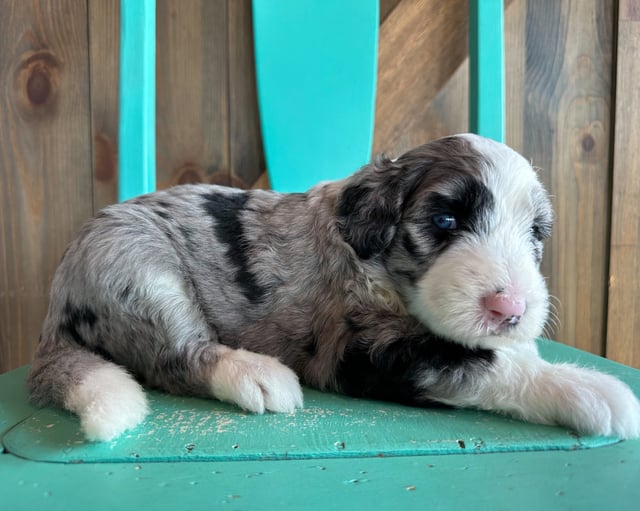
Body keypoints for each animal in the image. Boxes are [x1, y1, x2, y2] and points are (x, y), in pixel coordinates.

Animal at [27, 134, 640, 442]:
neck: (369, 260)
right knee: (176, 356)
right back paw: (258, 375)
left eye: (535, 233)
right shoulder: (357, 349)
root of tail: (54, 306)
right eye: (444, 221)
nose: (509, 307)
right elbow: (483, 363)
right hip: (141, 269)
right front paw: (586, 390)